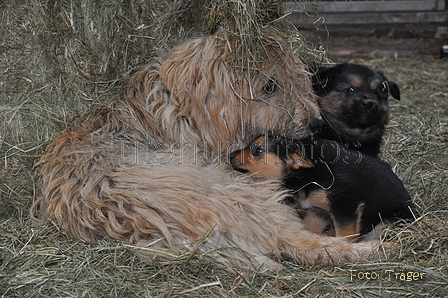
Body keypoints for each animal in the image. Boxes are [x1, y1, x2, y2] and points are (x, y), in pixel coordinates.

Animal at [32, 29, 378, 270]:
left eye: (300, 80)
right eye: (269, 85)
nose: (316, 124)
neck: (178, 109)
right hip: (239, 194)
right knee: (299, 239)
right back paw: (369, 249)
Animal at [229, 136, 418, 241]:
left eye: (258, 150)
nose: (230, 155)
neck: (305, 174)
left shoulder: (345, 206)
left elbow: (346, 235)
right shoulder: (317, 210)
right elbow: (309, 227)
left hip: (388, 221)